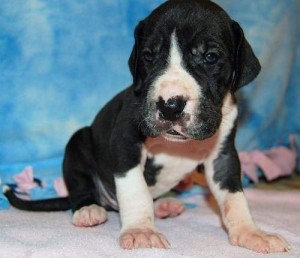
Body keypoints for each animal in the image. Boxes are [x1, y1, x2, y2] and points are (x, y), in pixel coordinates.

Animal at [4, 0, 290, 253]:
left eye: (210, 57)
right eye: (149, 56)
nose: (171, 105)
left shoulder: (223, 156)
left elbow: (234, 197)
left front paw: (251, 233)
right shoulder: (125, 142)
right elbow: (135, 191)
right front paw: (141, 231)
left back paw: (165, 204)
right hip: (79, 142)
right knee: (80, 187)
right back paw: (89, 209)